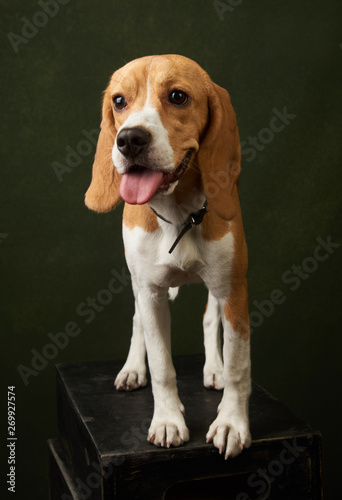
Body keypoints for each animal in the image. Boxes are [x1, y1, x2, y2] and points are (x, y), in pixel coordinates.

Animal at [85, 53, 251, 458]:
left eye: (177, 96)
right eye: (118, 101)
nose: (129, 139)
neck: (178, 218)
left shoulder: (234, 292)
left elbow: (239, 367)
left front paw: (231, 424)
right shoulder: (150, 292)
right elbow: (161, 365)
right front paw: (167, 420)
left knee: (210, 320)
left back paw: (213, 368)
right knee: (136, 323)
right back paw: (133, 368)